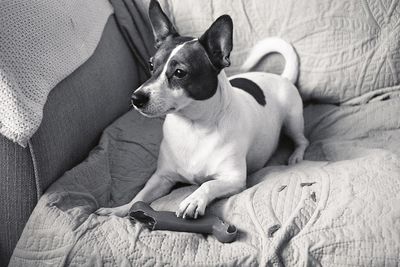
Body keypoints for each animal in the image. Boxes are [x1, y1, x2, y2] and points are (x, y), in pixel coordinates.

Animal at [95, 0, 308, 220]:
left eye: (180, 72)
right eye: (151, 65)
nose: (136, 98)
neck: (193, 127)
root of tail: (282, 77)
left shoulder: (234, 179)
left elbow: (207, 184)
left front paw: (193, 199)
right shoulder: (162, 178)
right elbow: (139, 197)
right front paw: (118, 209)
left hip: (292, 121)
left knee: (302, 140)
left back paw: (296, 156)